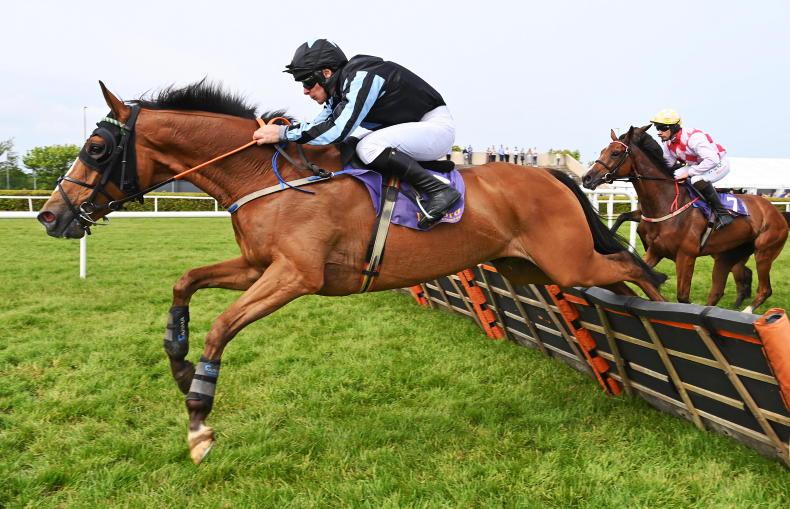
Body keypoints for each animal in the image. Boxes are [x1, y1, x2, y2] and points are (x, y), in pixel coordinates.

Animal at [38, 81, 666, 464]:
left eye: (96, 149)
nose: (50, 215)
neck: (266, 175)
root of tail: (553, 174)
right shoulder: (257, 265)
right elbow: (186, 280)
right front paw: (178, 358)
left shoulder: (295, 276)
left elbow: (221, 328)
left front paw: (199, 421)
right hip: (529, 267)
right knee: (615, 277)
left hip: (566, 259)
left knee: (635, 266)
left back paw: (660, 308)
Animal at [582, 126, 788, 312]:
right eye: (602, 151)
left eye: (615, 153)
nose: (587, 178)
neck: (665, 204)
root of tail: (776, 212)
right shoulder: (655, 251)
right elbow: (639, 270)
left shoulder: (686, 256)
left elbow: (682, 298)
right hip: (727, 255)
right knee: (720, 289)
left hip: (764, 252)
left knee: (765, 289)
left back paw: (746, 312)